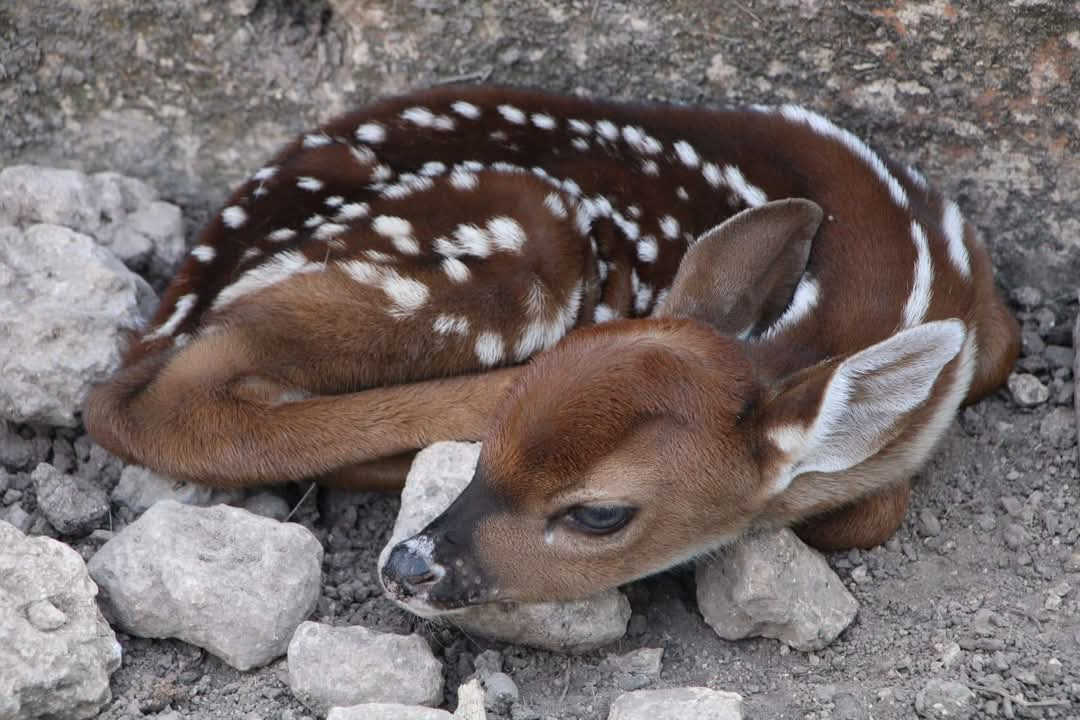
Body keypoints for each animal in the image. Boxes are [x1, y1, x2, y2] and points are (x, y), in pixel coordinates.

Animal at [86, 84, 1019, 613]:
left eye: (599, 514)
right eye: (484, 454)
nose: (409, 567)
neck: (905, 273)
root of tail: (178, 297)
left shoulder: (987, 309)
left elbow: (993, 364)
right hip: (522, 228)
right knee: (167, 399)